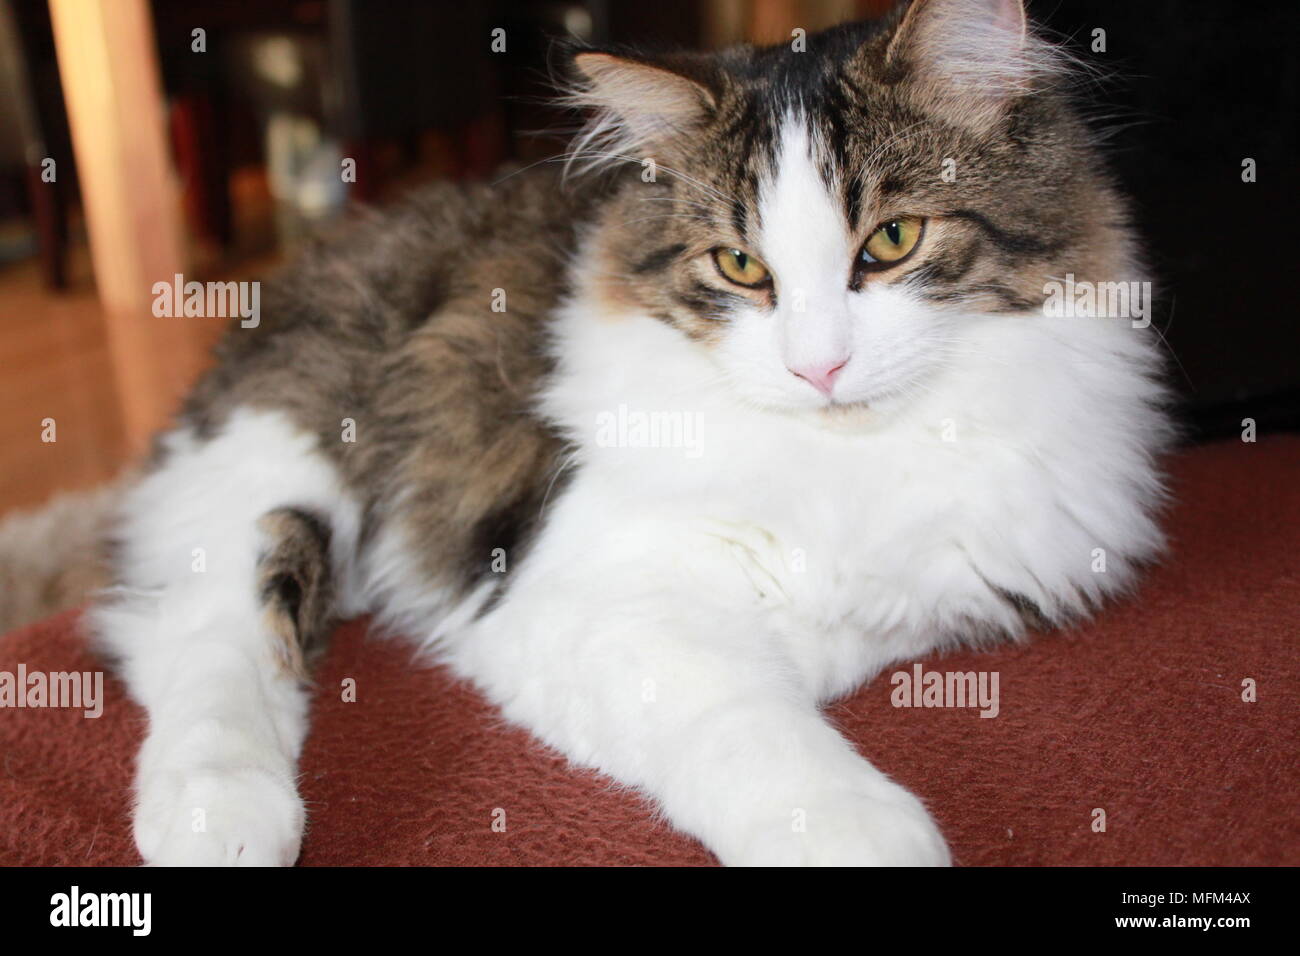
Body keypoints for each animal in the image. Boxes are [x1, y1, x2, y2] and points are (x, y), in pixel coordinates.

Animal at [86, 0, 1175, 868]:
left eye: (894, 242)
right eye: (741, 266)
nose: (817, 367)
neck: (849, 455)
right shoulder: (586, 594)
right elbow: (753, 721)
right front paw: (855, 830)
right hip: (288, 453)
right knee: (205, 629)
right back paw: (220, 817)